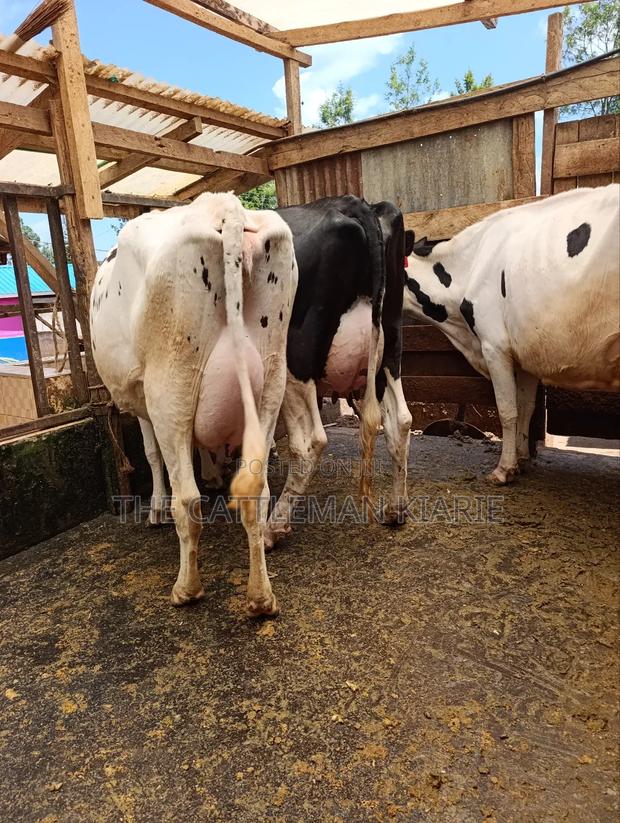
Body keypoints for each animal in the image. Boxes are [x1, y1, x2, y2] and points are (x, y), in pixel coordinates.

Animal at [90, 192, 297, 615]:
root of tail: (224, 206)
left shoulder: (143, 397)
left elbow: (151, 453)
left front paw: (155, 508)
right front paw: (214, 472)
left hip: (171, 385)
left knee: (187, 501)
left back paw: (186, 588)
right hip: (272, 380)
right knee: (257, 494)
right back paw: (261, 597)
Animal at [263, 195, 415, 549]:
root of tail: (354, 203)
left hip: (294, 358)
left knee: (310, 442)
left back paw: (273, 528)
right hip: (389, 348)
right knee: (401, 421)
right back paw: (396, 509)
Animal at [403, 184, 620, 484]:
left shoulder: (495, 346)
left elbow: (507, 410)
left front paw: (504, 470)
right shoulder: (528, 352)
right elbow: (526, 407)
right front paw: (522, 459)